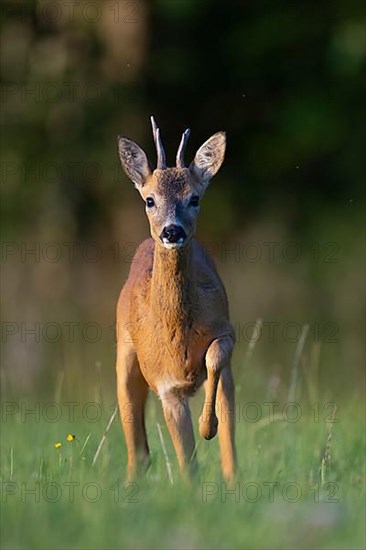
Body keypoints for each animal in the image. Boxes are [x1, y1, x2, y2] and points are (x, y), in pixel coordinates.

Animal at [117, 117, 237, 484]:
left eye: (195, 198)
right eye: (149, 200)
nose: (172, 231)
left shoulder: (226, 329)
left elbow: (214, 356)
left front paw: (207, 427)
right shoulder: (166, 386)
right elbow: (188, 465)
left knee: (229, 446)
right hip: (124, 357)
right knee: (137, 450)